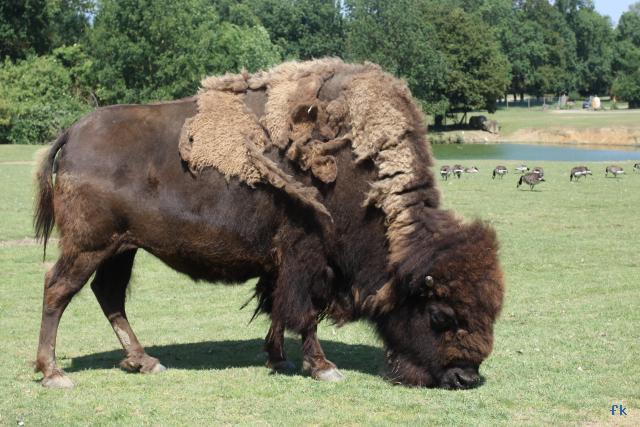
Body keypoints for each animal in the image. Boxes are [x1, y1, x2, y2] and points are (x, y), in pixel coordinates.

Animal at [33, 59, 504, 389]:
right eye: (440, 315)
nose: (465, 378)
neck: (359, 174)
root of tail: (72, 133)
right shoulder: (309, 257)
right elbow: (305, 312)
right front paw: (323, 367)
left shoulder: (281, 264)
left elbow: (277, 307)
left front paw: (278, 358)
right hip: (89, 246)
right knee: (58, 289)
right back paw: (54, 374)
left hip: (123, 248)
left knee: (109, 295)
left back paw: (144, 361)